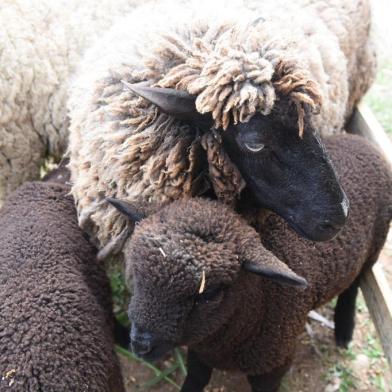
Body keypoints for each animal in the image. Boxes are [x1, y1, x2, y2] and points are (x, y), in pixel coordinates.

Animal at [107, 133, 392, 390]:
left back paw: (344, 329)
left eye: (209, 294)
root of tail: (361, 142)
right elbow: (195, 379)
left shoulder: (273, 367)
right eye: (136, 275)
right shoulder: (200, 353)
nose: (140, 345)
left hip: (374, 246)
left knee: (355, 284)